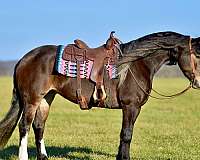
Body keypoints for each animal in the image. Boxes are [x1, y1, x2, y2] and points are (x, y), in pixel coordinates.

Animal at [0, 31, 200, 160]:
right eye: (196, 55)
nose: (198, 82)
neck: (137, 63)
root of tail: (24, 59)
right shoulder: (131, 107)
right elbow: (127, 134)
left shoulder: (131, 109)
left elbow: (124, 134)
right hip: (31, 100)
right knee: (24, 127)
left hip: (46, 98)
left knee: (39, 126)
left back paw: (43, 157)